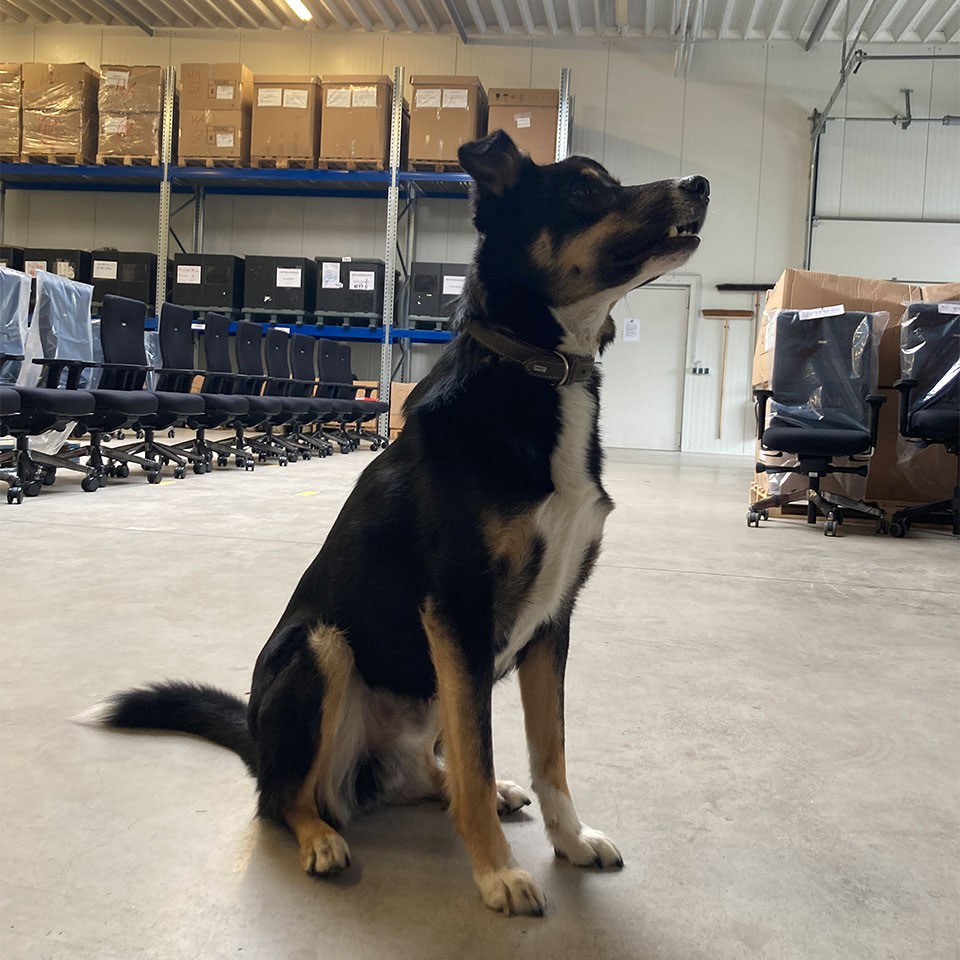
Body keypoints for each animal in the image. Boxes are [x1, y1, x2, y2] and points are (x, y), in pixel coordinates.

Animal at [84, 131, 704, 920]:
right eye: (584, 190)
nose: (701, 184)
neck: (538, 371)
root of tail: (258, 738)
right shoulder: (457, 612)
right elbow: (479, 756)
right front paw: (497, 875)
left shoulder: (552, 620)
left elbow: (549, 754)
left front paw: (569, 840)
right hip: (322, 649)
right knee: (283, 798)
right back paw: (320, 837)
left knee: (431, 774)